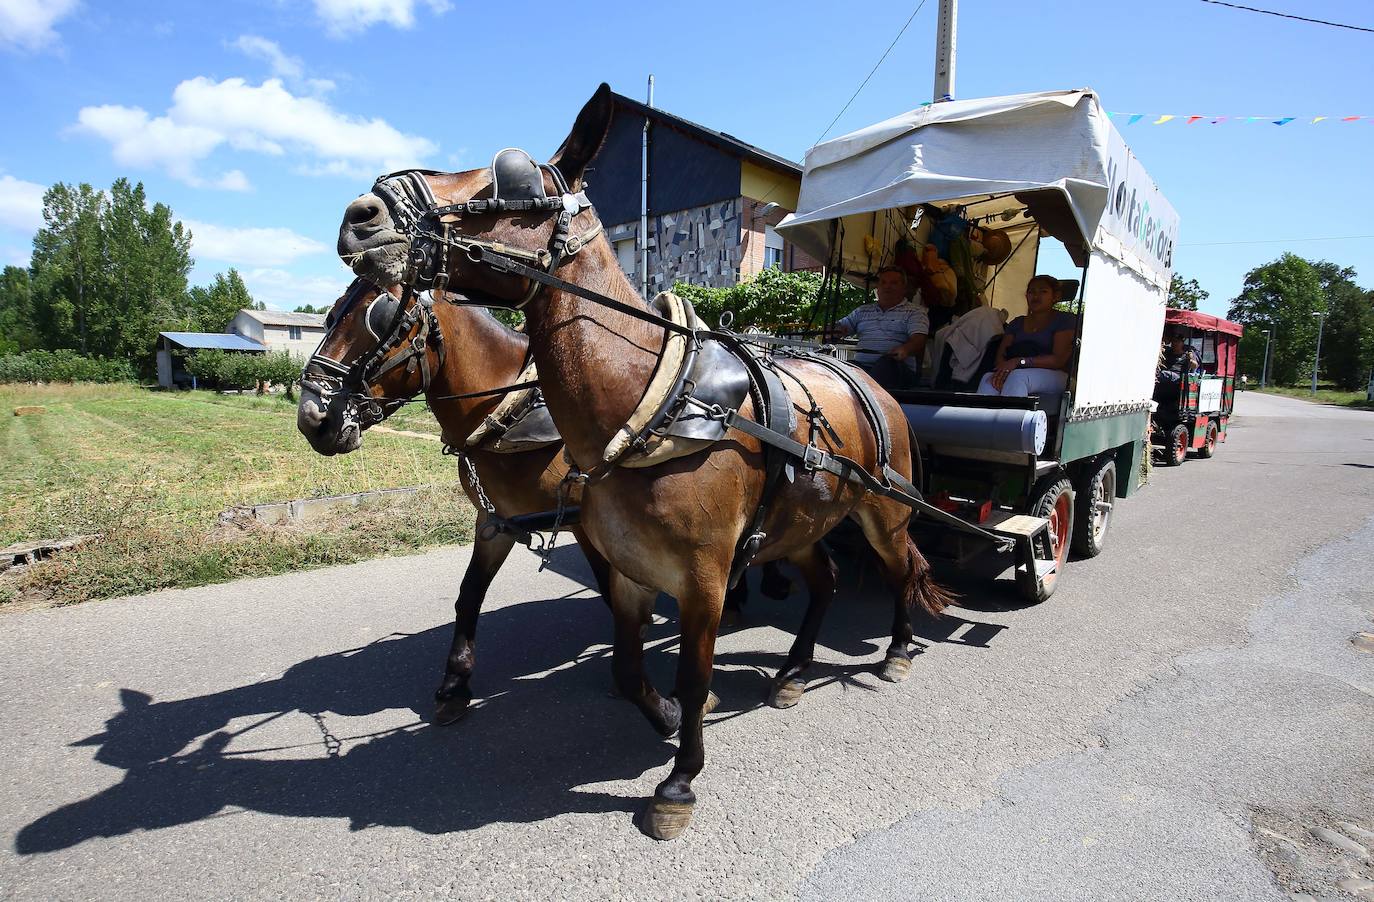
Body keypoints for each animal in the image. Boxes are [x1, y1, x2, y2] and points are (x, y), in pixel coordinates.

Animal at [338, 84, 950, 836]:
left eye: (509, 178)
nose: (360, 217)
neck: (652, 405)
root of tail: (871, 381)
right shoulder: (618, 562)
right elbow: (626, 665)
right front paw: (660, 715)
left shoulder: (703, 578)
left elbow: (693, 672)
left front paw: (680, 779)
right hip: (801, 523)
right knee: (827, 579)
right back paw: (794, 672)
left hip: (882, 515)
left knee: (900, 570)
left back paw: (895, 651)